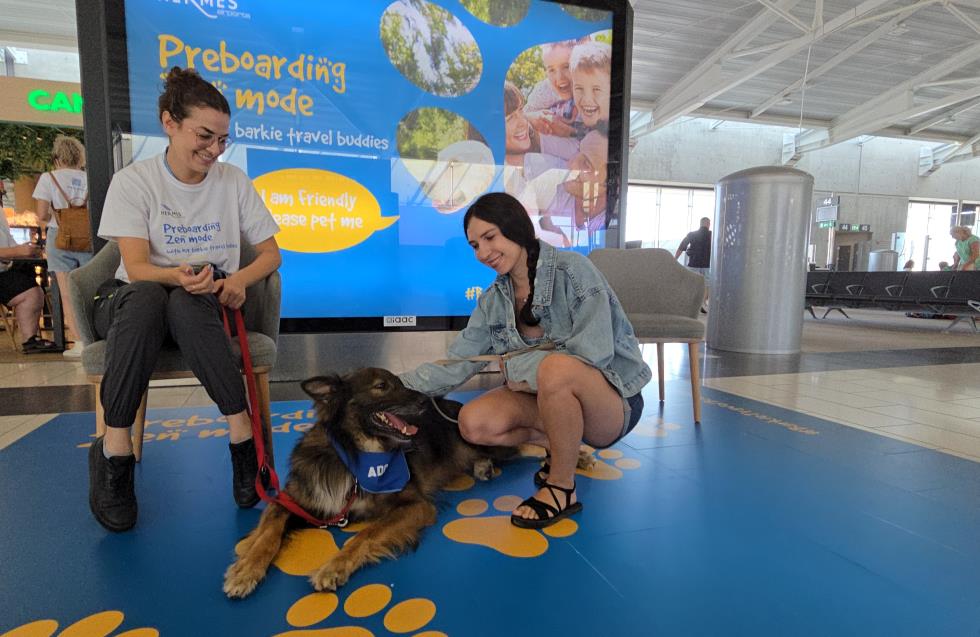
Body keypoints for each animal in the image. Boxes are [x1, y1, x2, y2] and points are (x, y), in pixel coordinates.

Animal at [222, 368, 506, 596]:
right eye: (381, 386)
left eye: (400, 382)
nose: (427, 400)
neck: (355, 454)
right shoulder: (292, 499)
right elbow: (269, 532)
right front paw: (246, 567)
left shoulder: (416, 505)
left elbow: (366, 534)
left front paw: (333, 567)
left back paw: (486, 465)